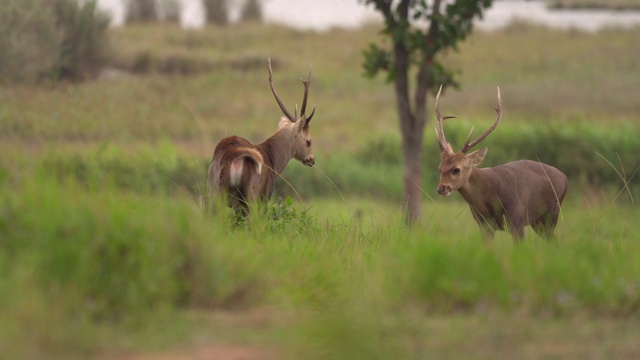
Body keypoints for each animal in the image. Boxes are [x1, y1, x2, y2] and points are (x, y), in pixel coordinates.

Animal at [209, 58, 316, 217]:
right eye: (308, 141)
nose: (312, 159)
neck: (273, 161)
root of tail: (235, 157)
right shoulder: (265, 196)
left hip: (214, 191)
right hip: (251, 195)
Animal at [436, 85, 564, 240]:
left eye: (456, 169)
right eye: (440, 168)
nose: (441, 188)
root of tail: (565, 178)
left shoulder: (517, 221)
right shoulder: (484, 225)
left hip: (551, 215)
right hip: (538, 222)